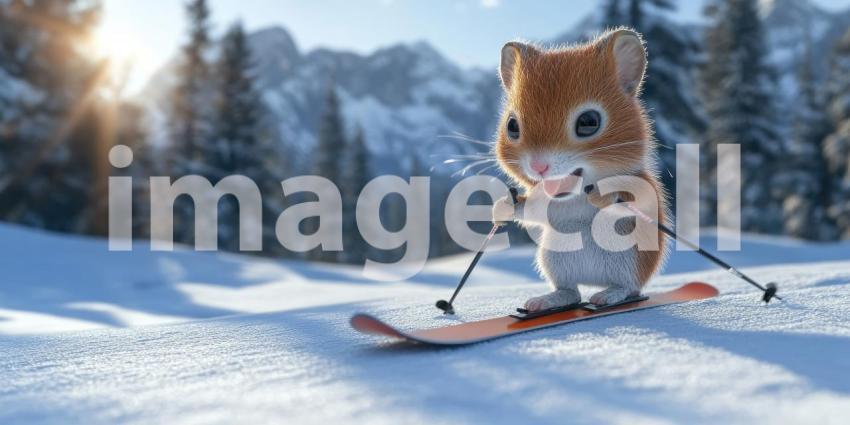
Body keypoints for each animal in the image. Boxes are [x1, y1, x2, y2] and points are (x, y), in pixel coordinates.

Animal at [491, 28, 667, 311]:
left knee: (629, 288)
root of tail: (593, 282)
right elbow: (529, 210)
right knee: (571, 292)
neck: (573, 196)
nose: (539, 166)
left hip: (630, 262)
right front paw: (503, 207)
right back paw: (547, 301)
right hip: (555, 260)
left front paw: (603, 196)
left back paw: (608, 296)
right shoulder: (543, 202)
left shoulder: (640, 189)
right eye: (512, 126)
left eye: (589, 122)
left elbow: (634, 201)